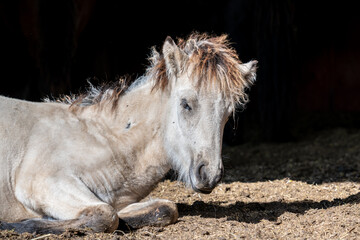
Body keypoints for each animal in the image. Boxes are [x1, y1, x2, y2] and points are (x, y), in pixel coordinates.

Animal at [1, 32, 258, 233]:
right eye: (186, 104)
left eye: (228, 112)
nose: (210, 175)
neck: (104, 140)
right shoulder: (42, 183)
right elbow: (105, 215)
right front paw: (18, 225)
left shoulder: (116, 201)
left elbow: (165, 208)